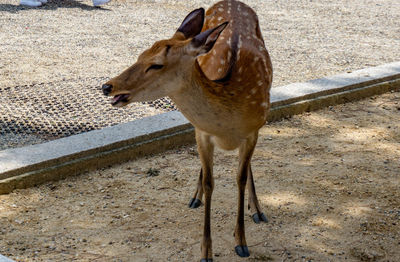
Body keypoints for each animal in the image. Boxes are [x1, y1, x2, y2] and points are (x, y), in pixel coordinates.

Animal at [101, 0, 274, 260]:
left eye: (156, 65)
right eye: (140, 55)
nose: (107, 86)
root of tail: (232, 2)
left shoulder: (254, 131)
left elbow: (240, 178)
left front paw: (241, 242)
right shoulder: (202, 133)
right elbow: (210, 183)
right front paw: (206, 251)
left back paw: (257, 210)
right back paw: (195, 198)